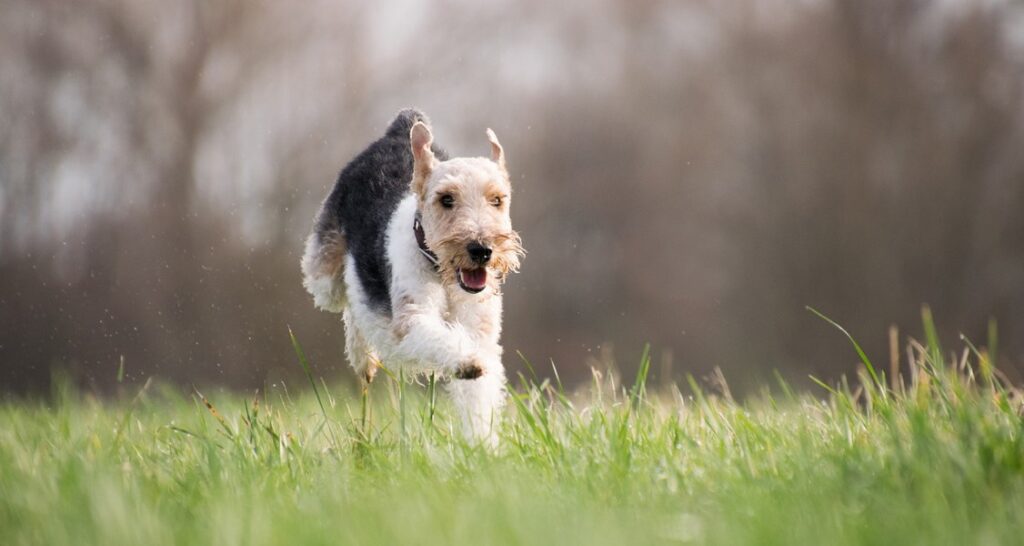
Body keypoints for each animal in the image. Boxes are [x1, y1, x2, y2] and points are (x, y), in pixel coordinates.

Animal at [296, 108, 520, 444]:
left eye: (497, 199)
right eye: (446, 199)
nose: (481, 249)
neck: (442, 275)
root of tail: (400, 128)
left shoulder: (481, 332)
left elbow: (479, 395)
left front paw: (483, 446)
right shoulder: (412, 317)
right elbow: (439, 338)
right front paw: (467, 362)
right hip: (324, 276)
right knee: (350, 300)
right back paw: (364, 359)